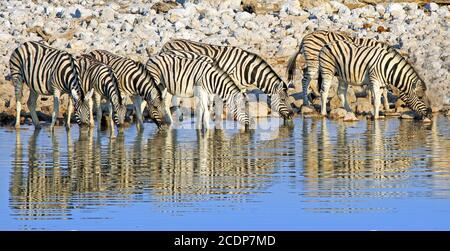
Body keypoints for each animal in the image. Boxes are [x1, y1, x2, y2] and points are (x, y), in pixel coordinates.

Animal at [160, 38, 294, 119]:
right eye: (283, 100)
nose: (292, 115)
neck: (246, 68)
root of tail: (167, 43)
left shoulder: (241, 86)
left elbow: (242, 100)